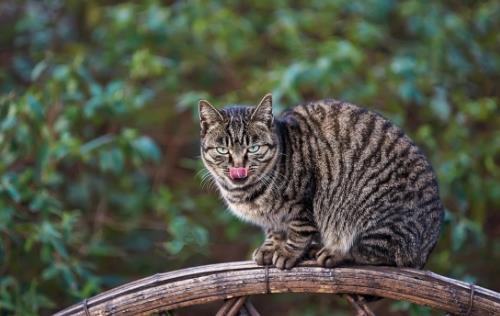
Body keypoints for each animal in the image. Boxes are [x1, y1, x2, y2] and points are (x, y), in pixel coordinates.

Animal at [198, 93, 442, 270]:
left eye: (254, 148)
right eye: (222, 150)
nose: (239, 166)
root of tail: (427, 248)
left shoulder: (303, 203)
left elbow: (299, 231)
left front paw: (287, 252)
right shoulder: (273, 218)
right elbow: (274, 231)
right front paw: (270, 247)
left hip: (377, 216)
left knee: (377, 253)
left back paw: (332, 252)